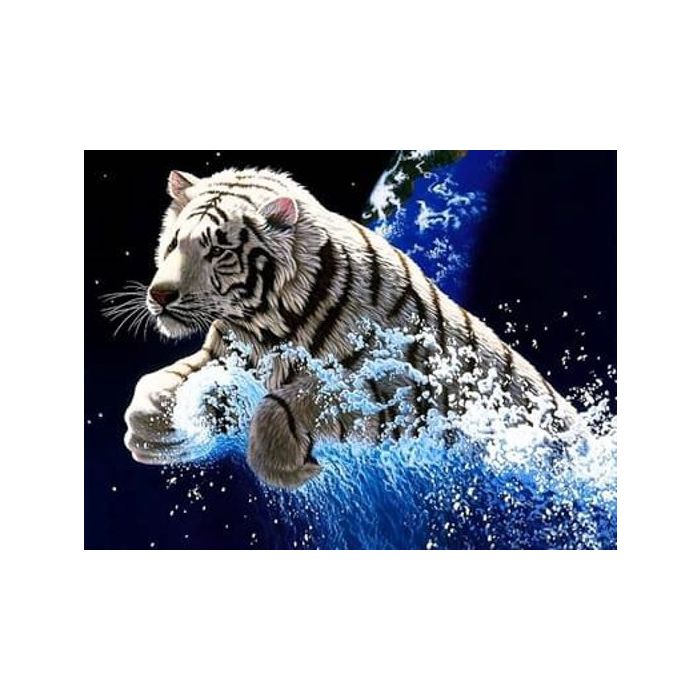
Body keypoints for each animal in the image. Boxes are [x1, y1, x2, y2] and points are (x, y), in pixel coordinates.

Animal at [123, 167, 576, 488]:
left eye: (218, 251)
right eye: (174, 244)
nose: (160, 295)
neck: (263, 326)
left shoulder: (396, 393)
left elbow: (291, 401)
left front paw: (290, 468)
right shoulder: (224, 354)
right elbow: (156, 383)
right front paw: (151, 430)